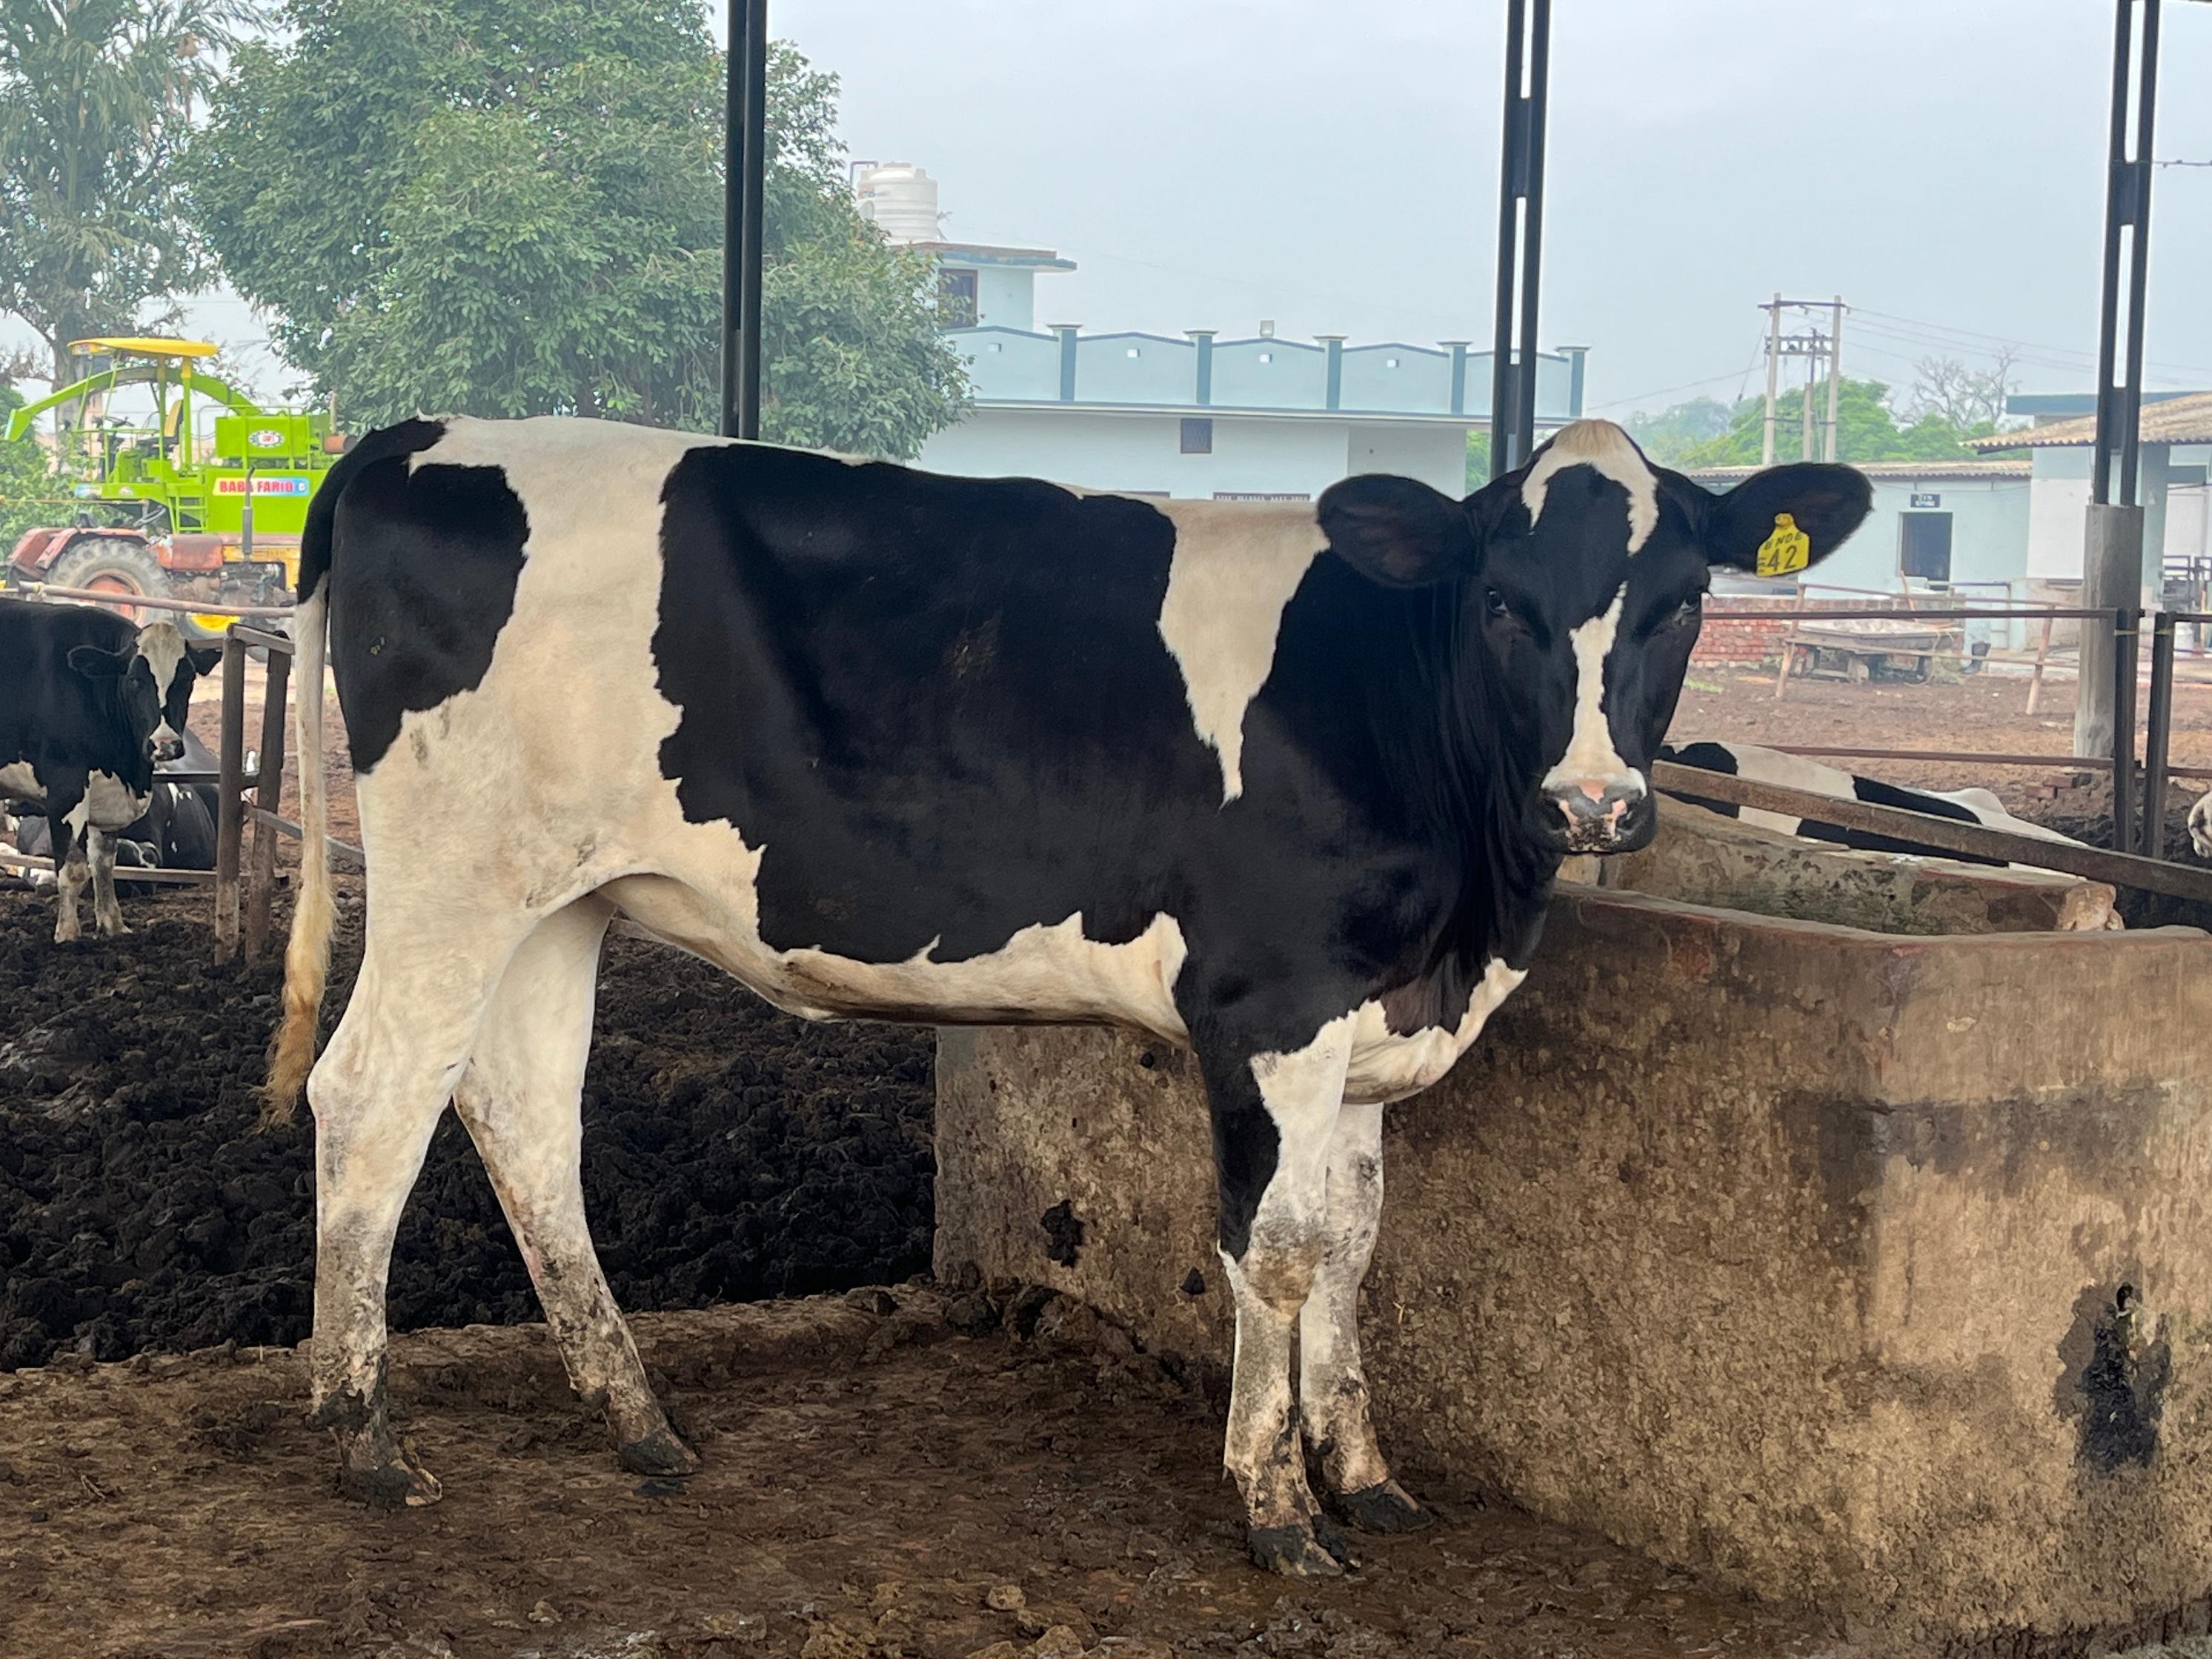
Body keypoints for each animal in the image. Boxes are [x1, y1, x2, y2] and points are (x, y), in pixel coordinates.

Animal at [0, 605, 218, 946]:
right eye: (134, 680)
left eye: (189, 678)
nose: (165, 744)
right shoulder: (66, 787)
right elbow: (74, 869)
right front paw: (68, 935)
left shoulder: (107, 794)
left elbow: (103, 863)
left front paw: (113, 926)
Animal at [268, 418, 1876, 1583]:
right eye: (1499, 603)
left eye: (1684, 603)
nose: (1594, 805)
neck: (1469, 914)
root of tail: (415, 435)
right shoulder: (1268, 999)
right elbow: (1278, 1252)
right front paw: (1277, 1507)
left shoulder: (1363, 1019)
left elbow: (1354, 1245)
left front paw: (1367, 1477)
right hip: (454, 871)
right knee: (372, 1093)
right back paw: (359, 1431)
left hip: (558, 897)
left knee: (522, 1114)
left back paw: (638, 1420)